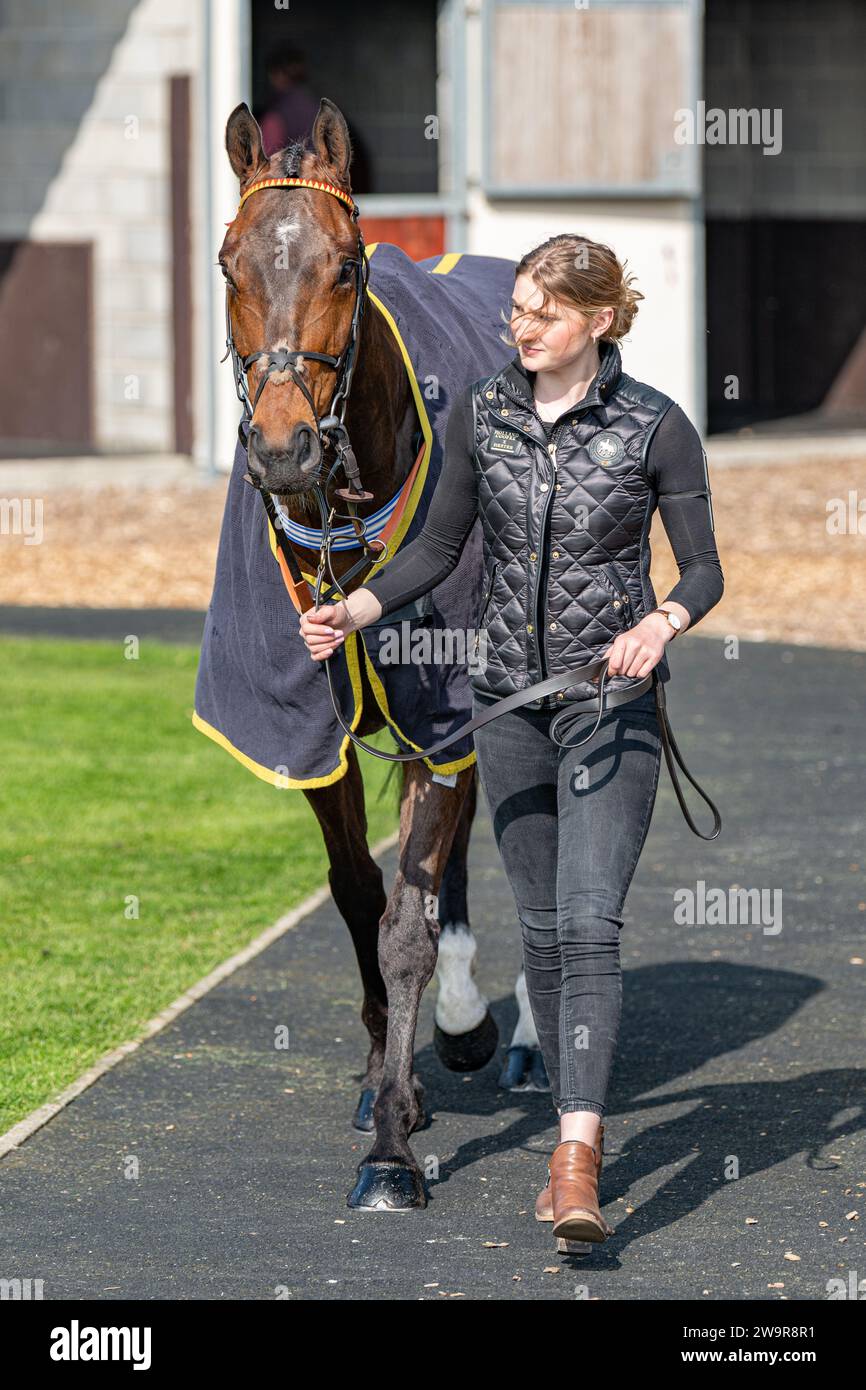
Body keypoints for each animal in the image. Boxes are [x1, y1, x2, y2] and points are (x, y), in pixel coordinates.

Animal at [216, 100, 542, 1206]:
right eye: (228, 262)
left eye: (348, 265)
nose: (282, 448)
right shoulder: (317, 722)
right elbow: (361, 893)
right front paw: (377, 1082)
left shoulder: (446, 707)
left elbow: (406, 919)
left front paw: (392, 1150)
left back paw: (517, 1033)